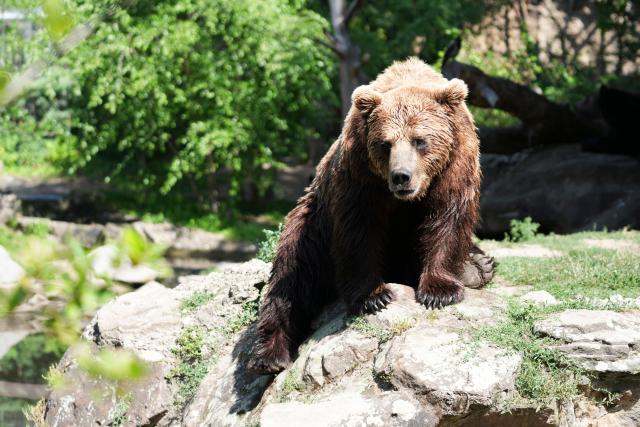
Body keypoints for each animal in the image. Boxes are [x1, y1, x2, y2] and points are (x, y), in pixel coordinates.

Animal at [248, 58, 494, 374]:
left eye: (419, 141)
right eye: (385, 144)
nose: (401, 176)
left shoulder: (456, 163)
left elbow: (447, 220)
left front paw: (440, 290)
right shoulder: (360, 174)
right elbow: (359, 231)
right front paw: (374, 296)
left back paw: (478, 266)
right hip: (312, 222)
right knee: (293, 274)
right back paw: (269, 355)